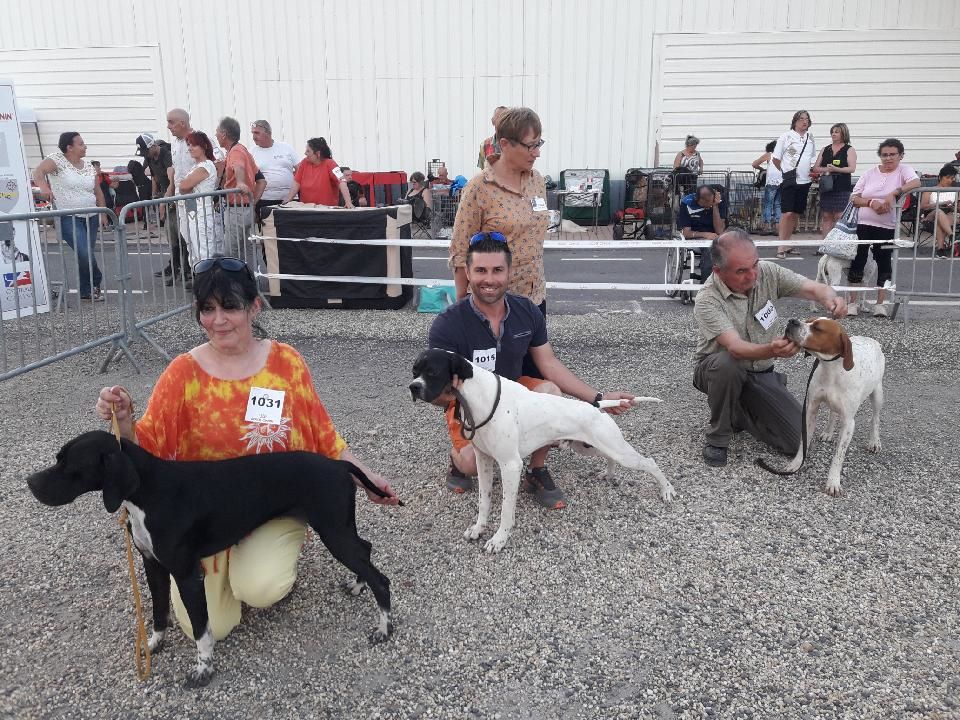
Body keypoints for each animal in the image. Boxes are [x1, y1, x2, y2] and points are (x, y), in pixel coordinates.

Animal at [26, 431, 395, 687]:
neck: (149, 492)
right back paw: (357, 586)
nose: (29, 482)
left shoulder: (187, 575)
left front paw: (203, 669)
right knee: (366, 550)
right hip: (340, 530)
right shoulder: (153, 566)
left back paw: (383, 628)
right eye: (58, 458)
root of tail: (338, 464)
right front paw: (154, 644)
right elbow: (158, 611)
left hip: (334, 533)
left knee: (381, 578)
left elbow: (202, 628)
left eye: (70, 466)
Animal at [409, 349, 676, 553]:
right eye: (414, 371)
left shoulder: (510, 465)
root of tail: (596, 405)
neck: (479, 400)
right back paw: (609, 474)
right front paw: (478, 529)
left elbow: (506, 509)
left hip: (618, 450)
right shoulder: (483, 460)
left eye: (432, 372)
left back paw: (667, 490)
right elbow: (484, 502)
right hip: (590, 447)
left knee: (650, 462)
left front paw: (499, 539)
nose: (413, 387)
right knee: (611, 459)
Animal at [767, 318, 885, 496]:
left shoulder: (849, 423)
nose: (792, 321)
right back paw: (828, 432)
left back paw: (874, 442)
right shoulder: (810, 410)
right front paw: (796, 464)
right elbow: (803, 443)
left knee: (875, 419)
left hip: (877, 393)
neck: (832, 370)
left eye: (817, 328)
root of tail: (871, 340)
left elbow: (838, 456)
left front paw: (833, 482)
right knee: (833, 412)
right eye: (808, 320)